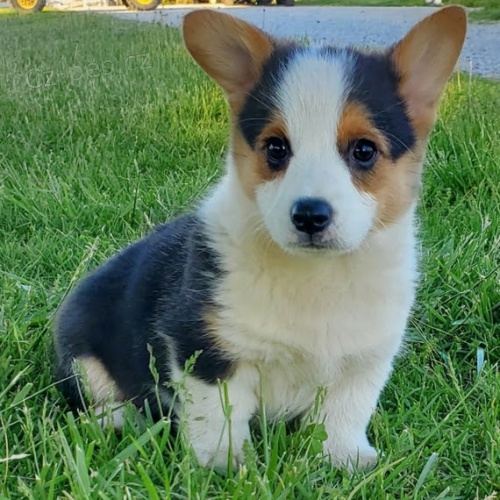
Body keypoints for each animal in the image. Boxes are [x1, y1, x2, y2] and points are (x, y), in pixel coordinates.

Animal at [53, 5, 464, 470]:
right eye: (275, 148)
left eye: (364, 150)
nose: (309, 215)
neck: (318, 275)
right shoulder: (204, 349)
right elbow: (218, 417)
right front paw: (222, 466)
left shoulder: (367, 358)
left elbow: (346, 411)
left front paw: (346, 459)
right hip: (82, 355)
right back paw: (124, 419)